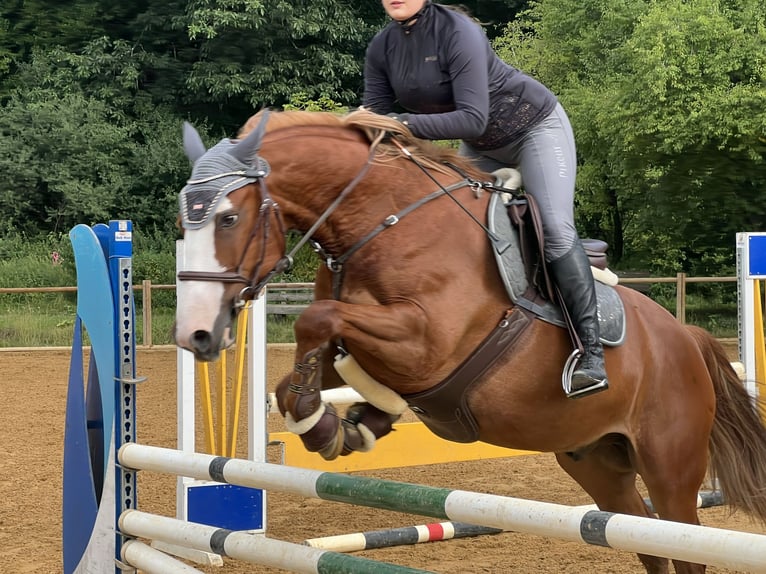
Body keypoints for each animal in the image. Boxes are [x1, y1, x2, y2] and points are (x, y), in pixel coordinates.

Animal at [177, 109, 766, 574]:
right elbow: (311, 360)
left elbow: (316, 321)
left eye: (228, 218)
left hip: (670, 466)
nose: (196, 334)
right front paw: (344, 422)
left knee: (684, 543)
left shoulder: (426, 341)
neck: (381, 221)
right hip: (599, 462)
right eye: (183, 225)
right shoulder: (360, 339)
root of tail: (687, 338)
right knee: (644, 536)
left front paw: (330, 423)